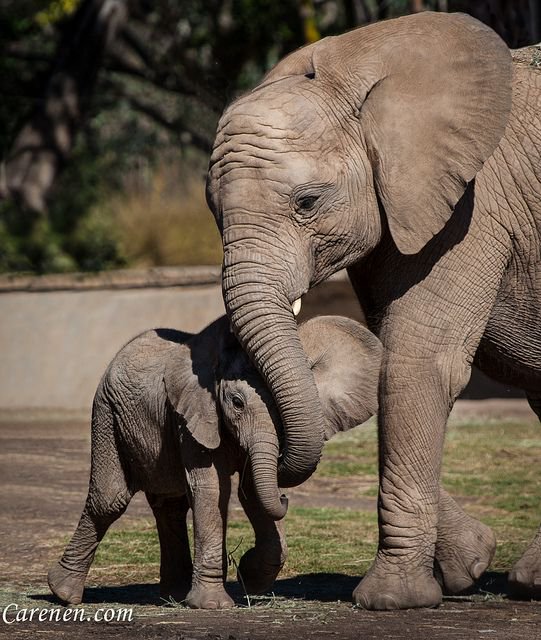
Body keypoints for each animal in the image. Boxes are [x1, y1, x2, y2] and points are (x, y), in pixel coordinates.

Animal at [47, 314, 382, 608]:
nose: (286, 497)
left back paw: (174, 596)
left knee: (170, 504)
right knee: (109, 499)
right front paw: (213, 605)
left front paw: (247, 576)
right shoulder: (191, 416)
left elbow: (251, 492)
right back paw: (63, 593)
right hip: (107, 412)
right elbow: (211, 489)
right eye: (236, 403)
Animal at [206, 11, 541, 609]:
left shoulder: (471, 205)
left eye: (307, 203)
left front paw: (391, 601)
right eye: (211, 209)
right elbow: (388, 352)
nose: (244, 569)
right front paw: (467, 567)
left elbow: (417, 362)